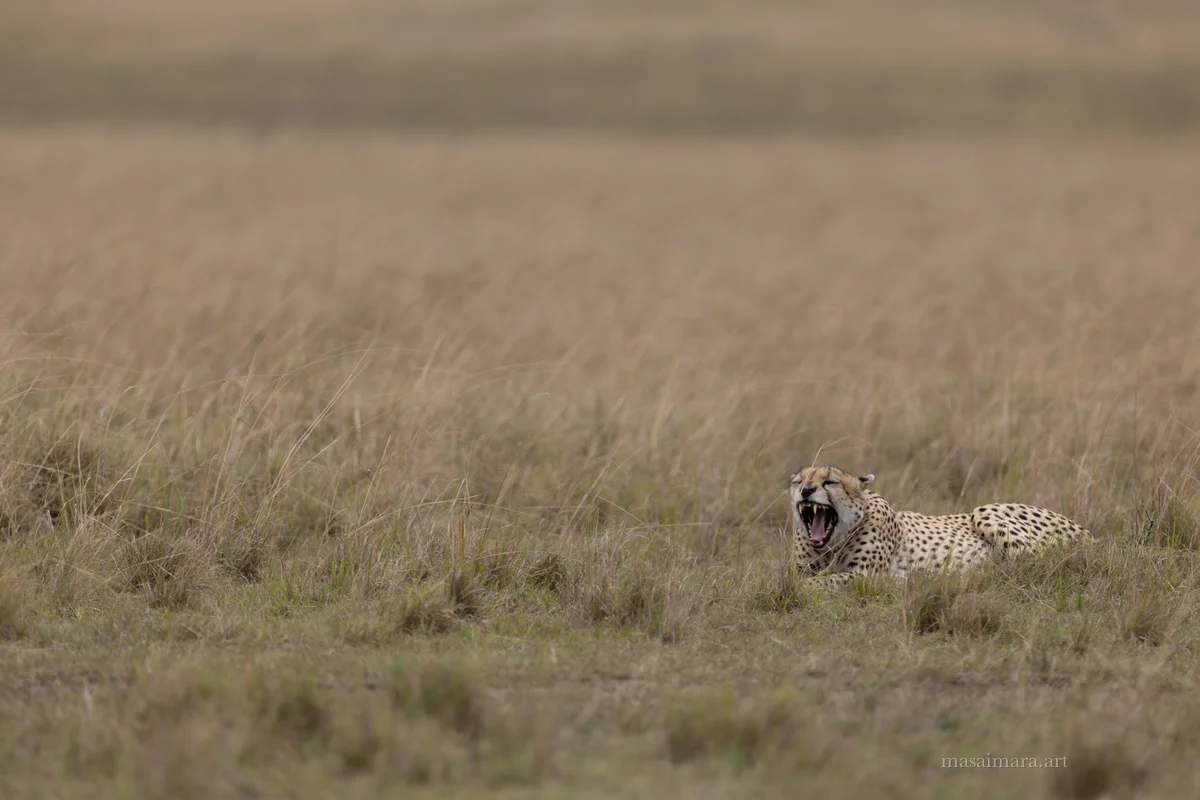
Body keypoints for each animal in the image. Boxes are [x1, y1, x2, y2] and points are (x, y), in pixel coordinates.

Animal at [789, 465, 1093, 586]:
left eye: (830, 482)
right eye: (799, 480)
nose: (806, 491)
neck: (832, 544)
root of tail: (1089, 535)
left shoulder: (865, 576)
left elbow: (817, 582)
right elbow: (800, 579)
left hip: (985, 511)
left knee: (1027, 567)